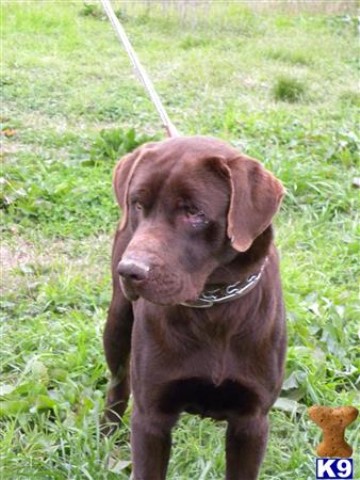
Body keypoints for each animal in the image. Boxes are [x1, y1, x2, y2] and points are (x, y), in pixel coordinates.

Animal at [104, 136, 286, 480]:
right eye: (138, 205)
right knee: (118, 382)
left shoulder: (251, 421)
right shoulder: (150, 420)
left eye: (194, 212)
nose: (130, 271)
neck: (213, 305)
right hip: (117, 325)